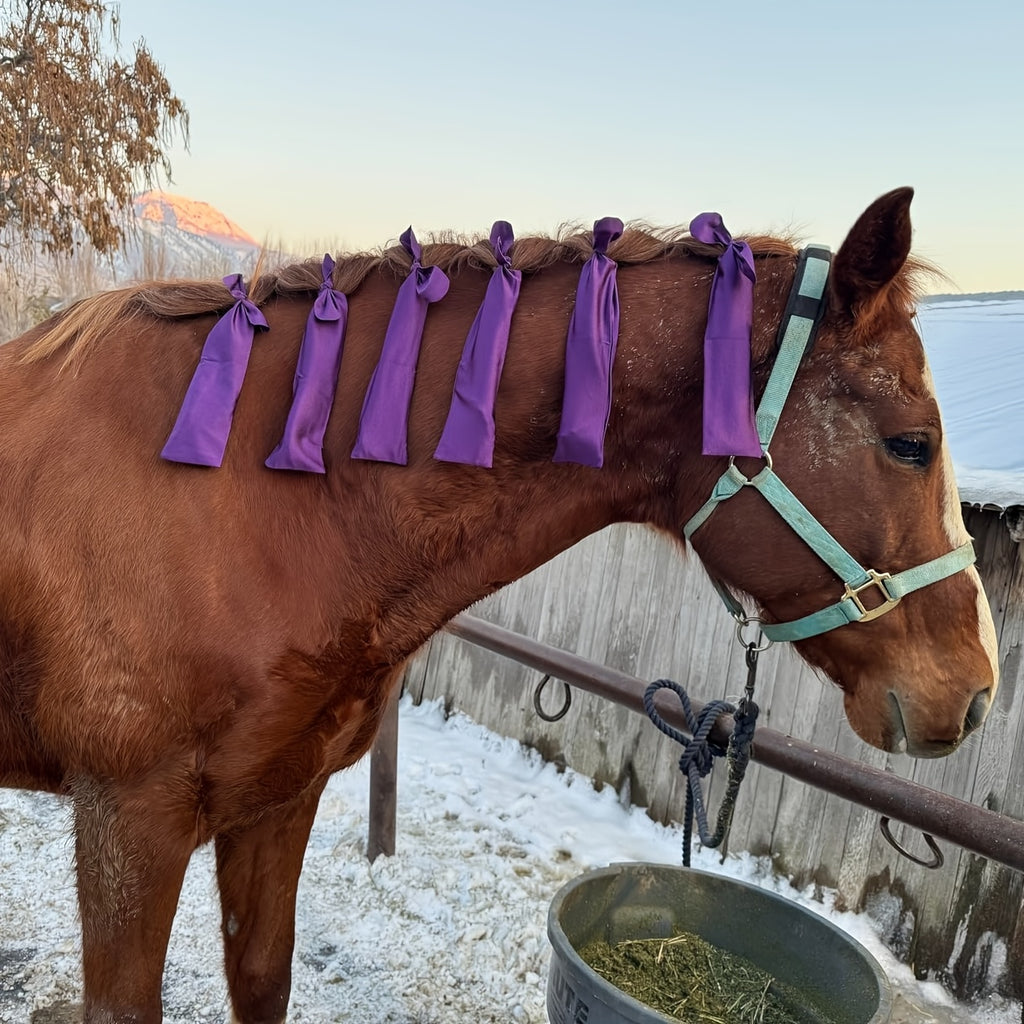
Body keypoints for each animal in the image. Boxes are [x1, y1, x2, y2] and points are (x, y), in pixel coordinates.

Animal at [0, 187, 998, 1023]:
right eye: (911, 443)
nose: (976, 690)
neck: (247, 493)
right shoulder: (131, 823)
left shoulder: (276, 804)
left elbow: (262, 982)